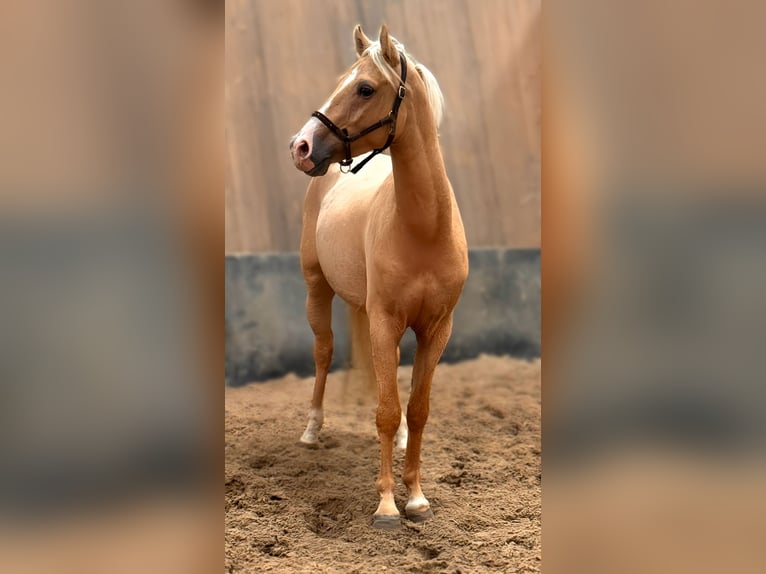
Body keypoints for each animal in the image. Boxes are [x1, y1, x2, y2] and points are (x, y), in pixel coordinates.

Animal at [288, 25, 468, 532]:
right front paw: (387, 505)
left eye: (365, 88)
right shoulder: (385, 322)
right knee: (324, 354)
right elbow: (386, 411)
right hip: (317, 289)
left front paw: (418, 498)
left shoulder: (436, 330)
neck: (423, 229)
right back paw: (312, 431)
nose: (300, 147)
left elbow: (418, 409)